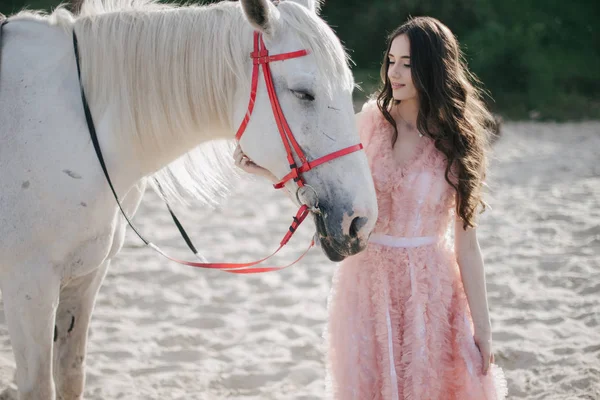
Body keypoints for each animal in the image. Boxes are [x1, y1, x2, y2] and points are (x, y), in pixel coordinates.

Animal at [0, 0, 376, 396]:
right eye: (304, 93)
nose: (361, 220)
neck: (77, 128)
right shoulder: (29, 286)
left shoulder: (85, 277)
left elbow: (71, 376)